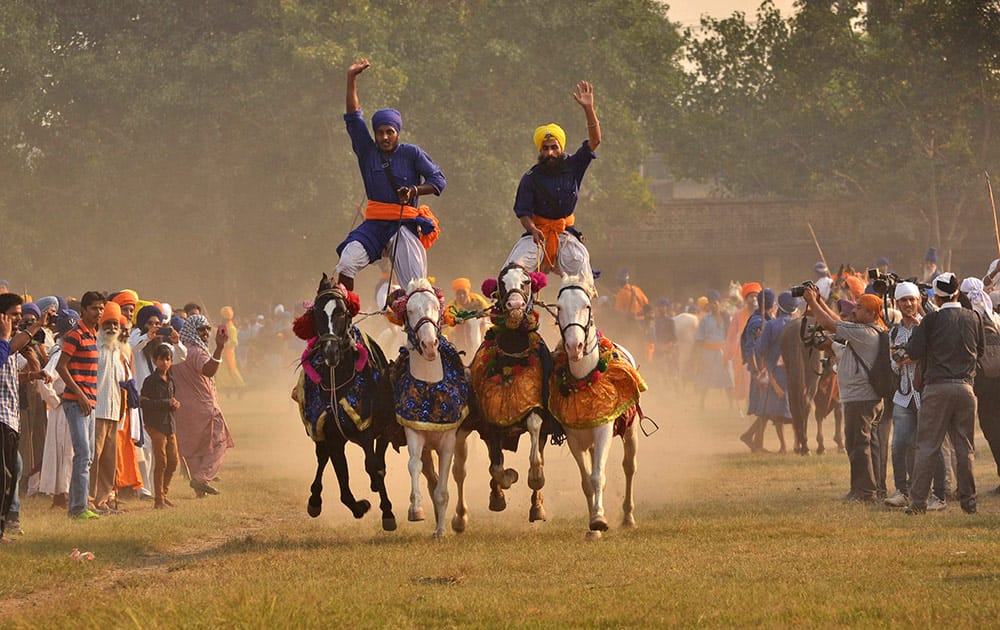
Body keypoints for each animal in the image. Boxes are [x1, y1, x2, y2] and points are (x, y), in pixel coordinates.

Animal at [296, 274, 402, 532]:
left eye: (342, 311)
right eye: (317, 313)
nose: (330, 351)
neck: (338, 378)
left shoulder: (365, 428)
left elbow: (373, 464)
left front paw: (387, 512)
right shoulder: (332, 435)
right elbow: (341, 477)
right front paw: (359, 506)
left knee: (380, 452)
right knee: (322, 457)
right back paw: (315, 499)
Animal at [388, 278, 470, 540]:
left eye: (435, 307)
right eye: (410, 310)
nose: (429, 345)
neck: (430, 386)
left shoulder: (448, 440)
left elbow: (444, 484)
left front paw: (441, 531)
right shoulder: (414, 432)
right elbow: (414, 465)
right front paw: (416, 509)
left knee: (458, 472)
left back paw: (459, 519)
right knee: (429, 474)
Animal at [548, 274, 648, 540]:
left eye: (587, 306)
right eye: (559, 308)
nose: (574, 346)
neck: (584, 379)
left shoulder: (604, 429)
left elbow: (597, 476)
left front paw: (600, 519)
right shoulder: (574, 437)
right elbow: (586, 481)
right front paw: (593, 524)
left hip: (631, 430)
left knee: (630, 466)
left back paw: (628, 516)